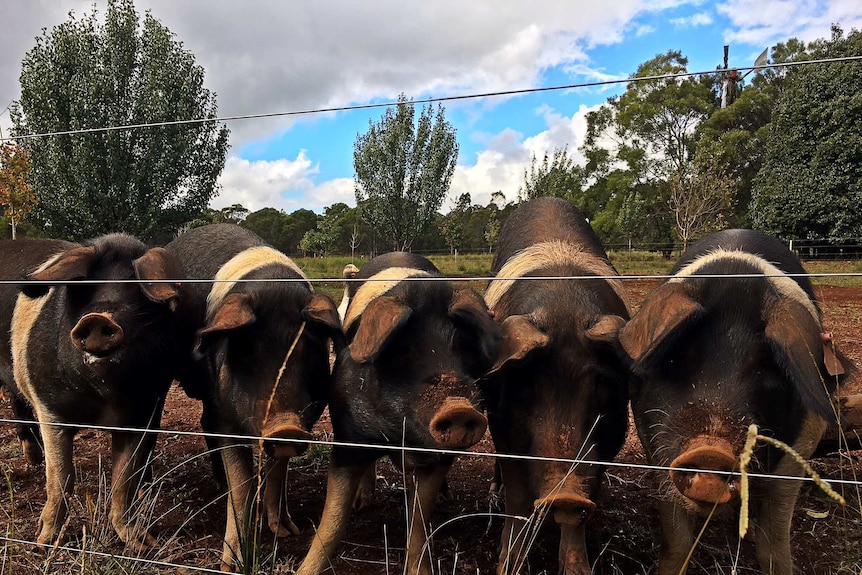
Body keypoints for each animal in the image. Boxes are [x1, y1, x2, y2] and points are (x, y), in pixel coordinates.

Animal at [0, 233, 189, 548]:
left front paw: (141, 543)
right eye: (84, 291)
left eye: (137, 296)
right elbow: (61, 476)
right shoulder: (49, 408)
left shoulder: (144, 411)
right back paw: (34, 462)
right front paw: (44, 542)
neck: (104, 400)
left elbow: (124, 478)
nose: (97, 319)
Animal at [165, 224, 344, 572]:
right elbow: (243, 485)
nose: (286, 427)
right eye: (247, 354)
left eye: (310, 353)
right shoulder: (226, 418)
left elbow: (277, 467)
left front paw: (287, 531)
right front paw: (231, 565)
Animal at [296, 252, 500, 575]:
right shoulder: (346, 439)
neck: (400, 438)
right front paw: (304, 570)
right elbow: (332, 519)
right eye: (404, 351)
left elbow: (418, 521)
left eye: (465, 348)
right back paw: (363, 502)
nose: (458, 407)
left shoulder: (438, 457)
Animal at [482, 199, 632, 575]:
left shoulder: (613, 433)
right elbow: (518, 498)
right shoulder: (502, 424)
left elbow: (588, 499)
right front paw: (508, 565)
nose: (565, 494)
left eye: (600, 385)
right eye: (529, 384)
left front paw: (578, 569)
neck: (564, 310)